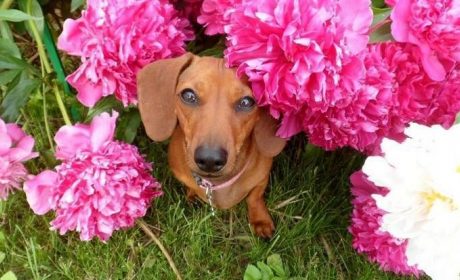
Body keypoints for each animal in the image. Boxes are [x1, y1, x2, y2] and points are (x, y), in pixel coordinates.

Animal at [138, 53, 286, 238]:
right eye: (188, 95)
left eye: (247, 102)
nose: (209, 159)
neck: (215, 184)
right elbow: (190, 185)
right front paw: (193, 195)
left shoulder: (262, 177)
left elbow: (254, 197)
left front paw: (260, 221)